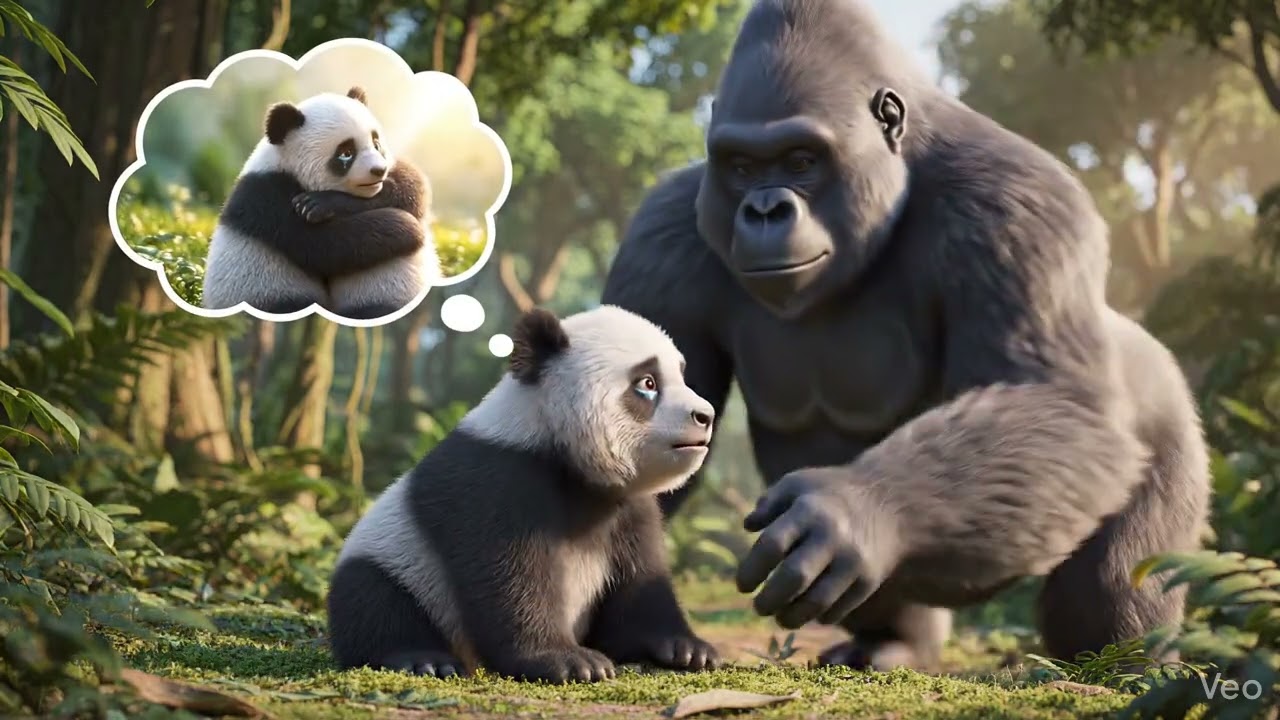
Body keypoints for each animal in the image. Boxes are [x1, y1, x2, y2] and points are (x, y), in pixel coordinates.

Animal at [201, 86, 439, 320]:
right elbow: (324, 243)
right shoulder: (264, 197)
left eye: (376, 143)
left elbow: (413, 185)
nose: (378, 170)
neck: (285, 163)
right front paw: (406, 226)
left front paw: (323, 204)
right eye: (346, 153)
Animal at [327, 305, 722, 684]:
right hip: (400, 558)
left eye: (681, 375)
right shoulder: (500, 478)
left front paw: (687, 649)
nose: (706, 415)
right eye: (648, 382)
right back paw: (423, 659)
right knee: (373, 599)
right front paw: (569, 661)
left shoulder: (627, 504)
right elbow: (513, 576)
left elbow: (640, 579)